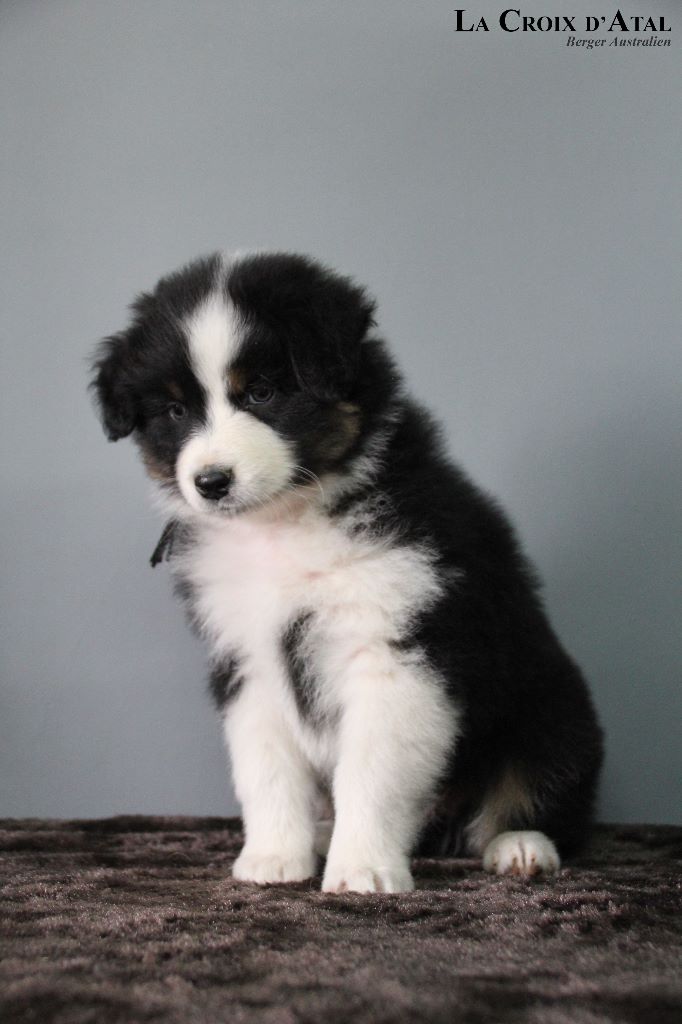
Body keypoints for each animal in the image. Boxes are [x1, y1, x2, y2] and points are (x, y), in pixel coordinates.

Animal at [91, 251, 603, 892]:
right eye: (176, 411)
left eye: (261, 392)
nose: (210, 481)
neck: (287, 524)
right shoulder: (249, 658)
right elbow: (265, 769)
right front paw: (273, 858)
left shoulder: (393, 649)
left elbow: (373, 773)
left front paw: (364, 869)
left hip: (554, 711)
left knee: (536, 788)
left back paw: (520, 846)